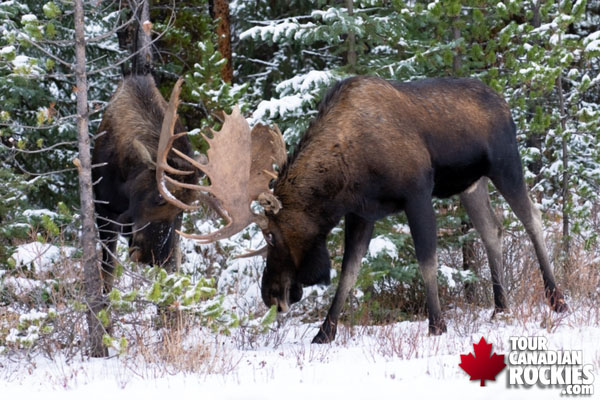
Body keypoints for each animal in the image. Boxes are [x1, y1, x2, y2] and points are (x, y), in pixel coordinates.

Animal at [92, 76, 197, 294]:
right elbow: (107, 270)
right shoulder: (103, 208)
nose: (152, 256)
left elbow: (173, 268)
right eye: (159, 197)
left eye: (180, 211)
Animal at [155, 75, 568, 344]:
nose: (270, 294)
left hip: (505, 161)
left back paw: (557, 299)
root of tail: (504, 101)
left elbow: (427, 260)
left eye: (269, 236)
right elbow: (348, 272)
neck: (346, 173)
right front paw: (324, 332)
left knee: (533, 219)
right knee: (492, 230)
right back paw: (500, 307)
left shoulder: (417, 193)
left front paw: (436, 323)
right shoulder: (362, 213)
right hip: (470, 183)